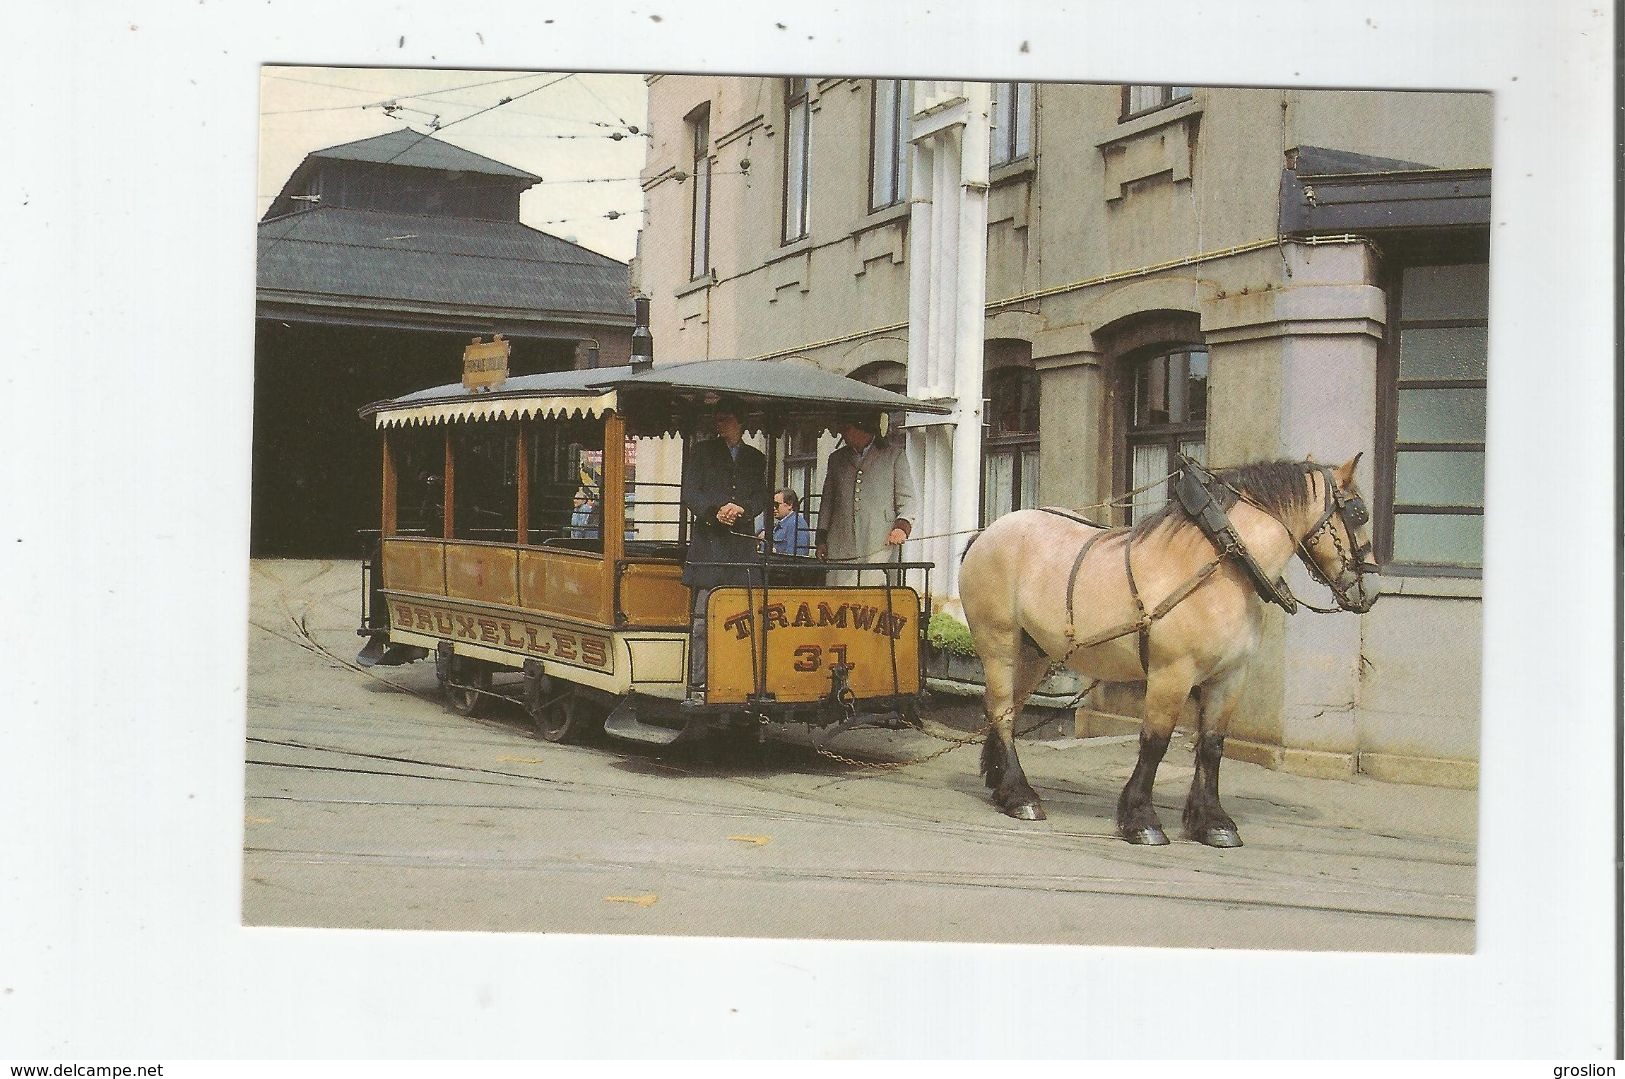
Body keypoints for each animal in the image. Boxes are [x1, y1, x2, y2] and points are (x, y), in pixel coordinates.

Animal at [955, 451, 1378, 845]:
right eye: (1359, 513)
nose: (1371, 591)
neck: (1220, 566)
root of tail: (986, 533)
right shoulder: (1171, 674)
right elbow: (1155, 743)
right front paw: (1142, 819)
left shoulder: (1230, 677)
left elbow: (1211, 746)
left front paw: (1213, 822)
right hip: (999, 642)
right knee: (1002, 710)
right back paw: (1020, 796)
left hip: (1034, 652)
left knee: (1006, 708)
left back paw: (1002, 786)